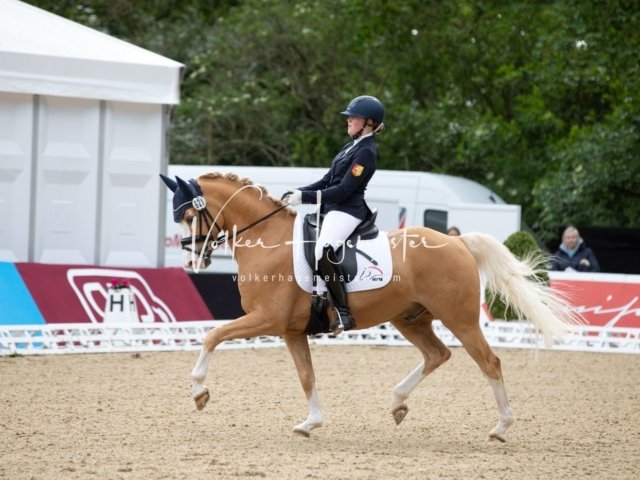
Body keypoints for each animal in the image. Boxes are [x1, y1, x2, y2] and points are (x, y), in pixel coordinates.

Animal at [160, 171, 581, 442]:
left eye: (188, 215)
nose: (193, 261)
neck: (267, 238)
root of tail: (457, 241)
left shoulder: (266, 319)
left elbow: (213, 335)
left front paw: (199, 392)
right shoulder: (291, 330)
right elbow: (306, 376)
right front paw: (311, 423)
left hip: (459, 319)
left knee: (489, 362)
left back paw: (501, 427)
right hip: (410, 319)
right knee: (437, 354)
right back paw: (397, 403)